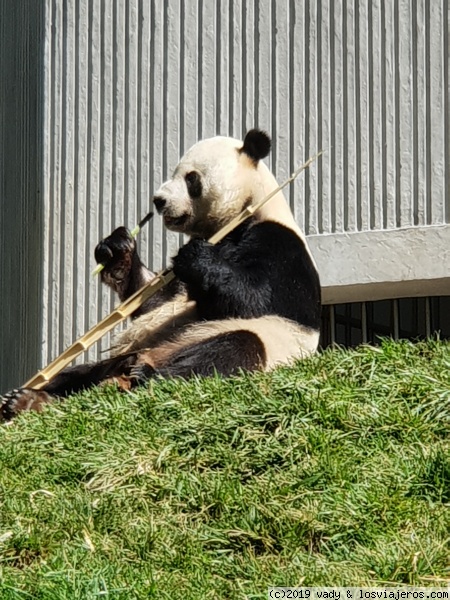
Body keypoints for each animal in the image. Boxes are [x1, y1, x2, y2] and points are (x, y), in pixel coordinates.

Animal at [1, 130, 322, 422]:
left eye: (191, 179)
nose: (158, 200)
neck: (243, 212)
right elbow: (156, 302)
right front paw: (118, 250)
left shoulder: (278, 244)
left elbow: (255, 299)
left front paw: (196, 257)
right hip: (133, 351)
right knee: (80, 373)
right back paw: (28, 399)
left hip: (256, 343)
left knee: (230, 350)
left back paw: (141, 377)